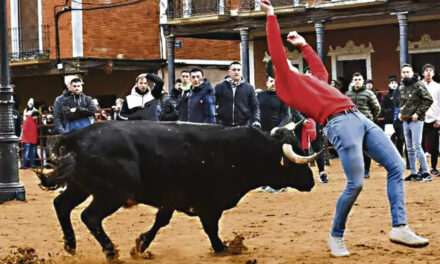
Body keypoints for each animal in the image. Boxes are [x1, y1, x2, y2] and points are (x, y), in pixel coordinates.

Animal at [37, 120, 314, 260]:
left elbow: (161, 220)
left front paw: (140, 245)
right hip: (112, 193)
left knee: (61, 205)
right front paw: (223, 248)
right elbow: (210, 228)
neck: (243, 152)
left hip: (79, 187)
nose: (311, 181)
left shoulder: (170, 197)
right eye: (293, 161)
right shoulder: (209, 204)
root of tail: (79, 135)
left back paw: (71, 246)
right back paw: (110, 251)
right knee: (90, 216)